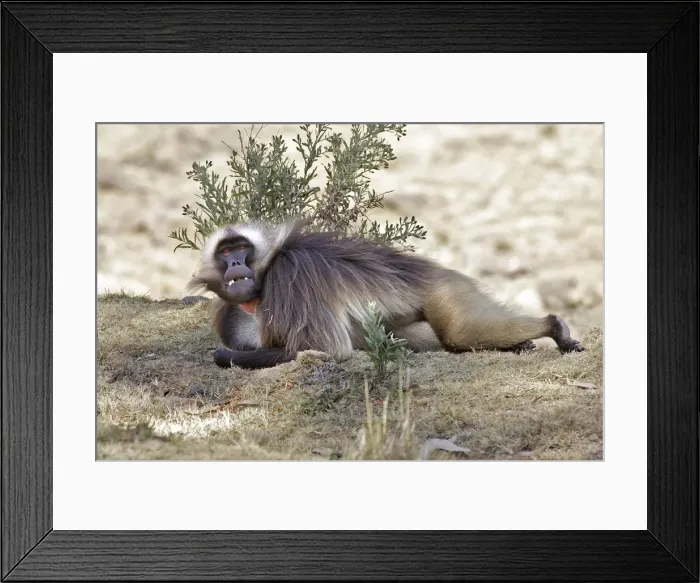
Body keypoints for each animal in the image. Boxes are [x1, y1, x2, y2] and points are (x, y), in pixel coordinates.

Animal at [187, 219, 584, 369]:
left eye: (241, 249)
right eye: (225, 252)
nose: (235, 261)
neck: (267, 272)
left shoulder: (290, 279)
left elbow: (331, 351)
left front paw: (223, 355)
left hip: (446, 290)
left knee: (458, 332)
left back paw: (554, 327)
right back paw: (521, 343)